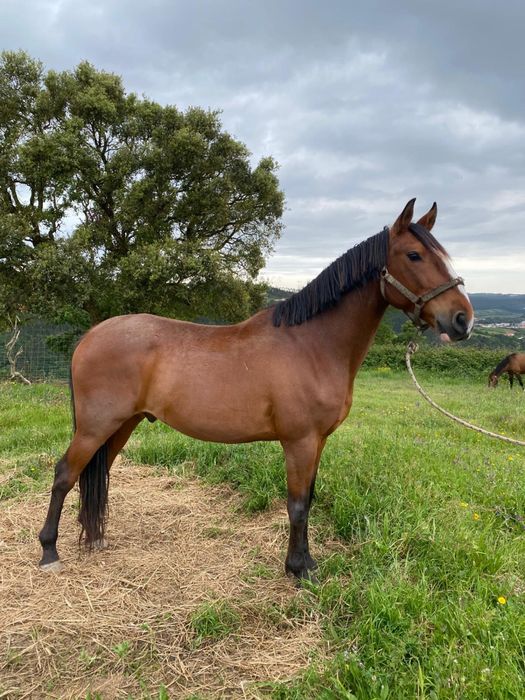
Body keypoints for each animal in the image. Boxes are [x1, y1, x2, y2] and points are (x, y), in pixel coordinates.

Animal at [38, 198, 474, 580]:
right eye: (414, 255)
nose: (462, 320)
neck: (312, 344)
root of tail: (90, 337)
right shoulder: (299, 441)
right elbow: (297, 505)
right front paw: (298, 569)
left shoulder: (318, 441)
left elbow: (309, 499)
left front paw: (306, 562)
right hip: (95, 426)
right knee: (65, 474)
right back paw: (49, 551)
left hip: (121, 425)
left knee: (97, 473)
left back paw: (95, 538)